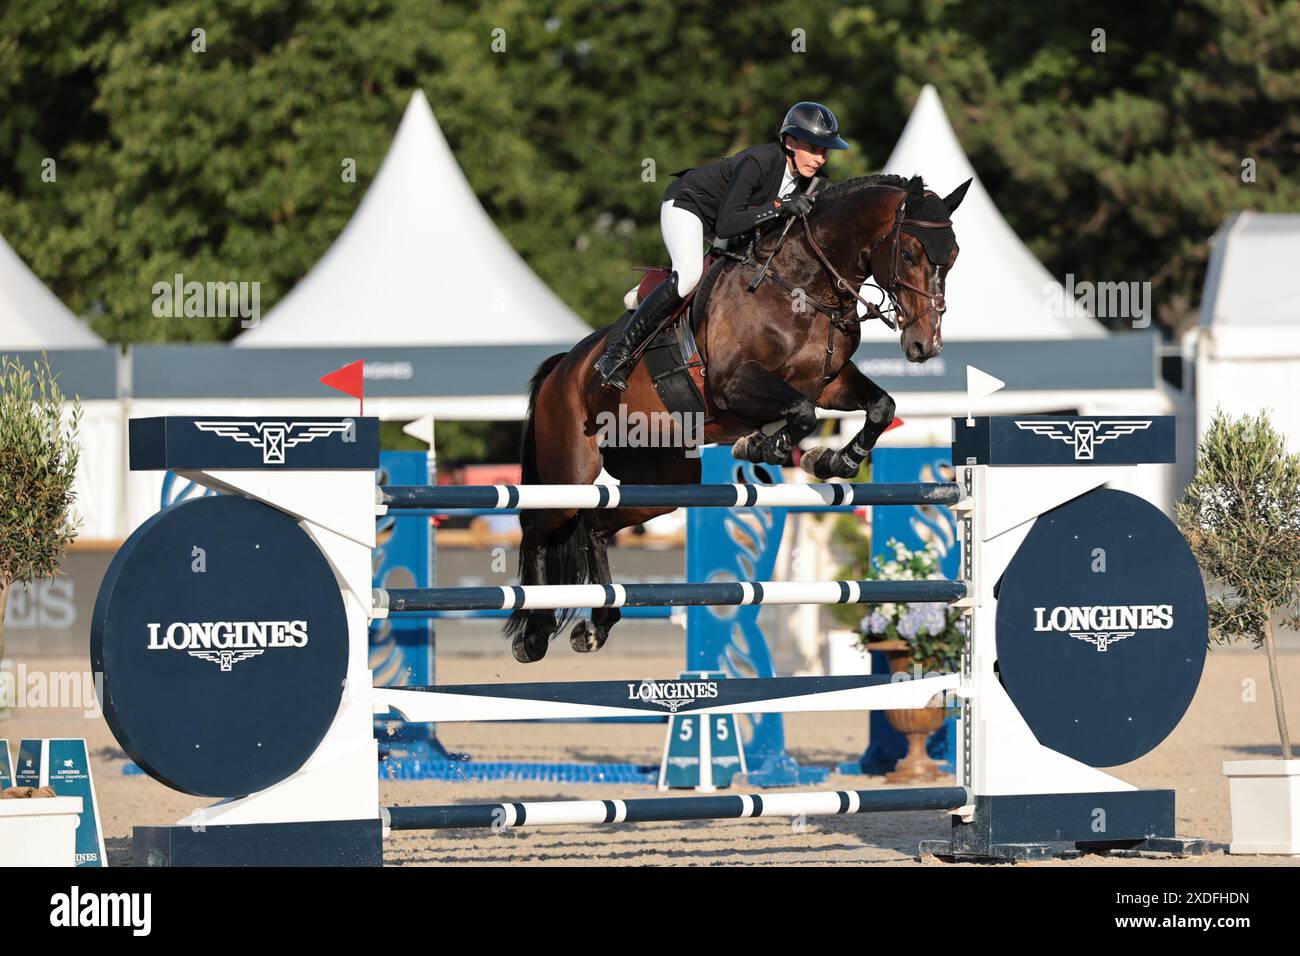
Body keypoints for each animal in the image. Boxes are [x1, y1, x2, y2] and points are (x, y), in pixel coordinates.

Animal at [501, 174, 972, 665]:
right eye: (911, 254)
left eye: (954, 255)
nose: (925, 346)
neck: (805, 286)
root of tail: (562, 367)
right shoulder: (735, 383)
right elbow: (801, 414)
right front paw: (765, 445)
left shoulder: (828, 383)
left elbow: (880, 407)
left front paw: (831, 461)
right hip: (570, 471)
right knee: (538, 529)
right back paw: (533, 634)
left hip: (662, 482)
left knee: (595, 522)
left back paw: (598, 626)